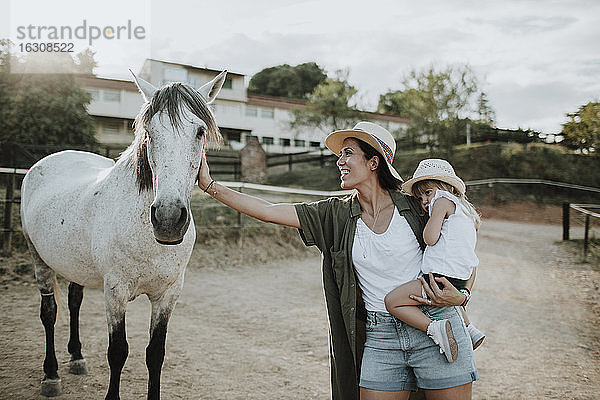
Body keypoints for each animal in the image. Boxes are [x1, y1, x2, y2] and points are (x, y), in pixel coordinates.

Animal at [21, 70, 227, 398]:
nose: (168, 219)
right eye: (150, 132)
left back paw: (77, 357)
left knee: (74, 301)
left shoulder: (168, 294)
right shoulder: (115, 292)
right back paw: (51, 375)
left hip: (75, 264)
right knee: (49, 312)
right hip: (38, 257)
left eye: (199, 132)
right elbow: (118, 351)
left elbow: (155, 353)